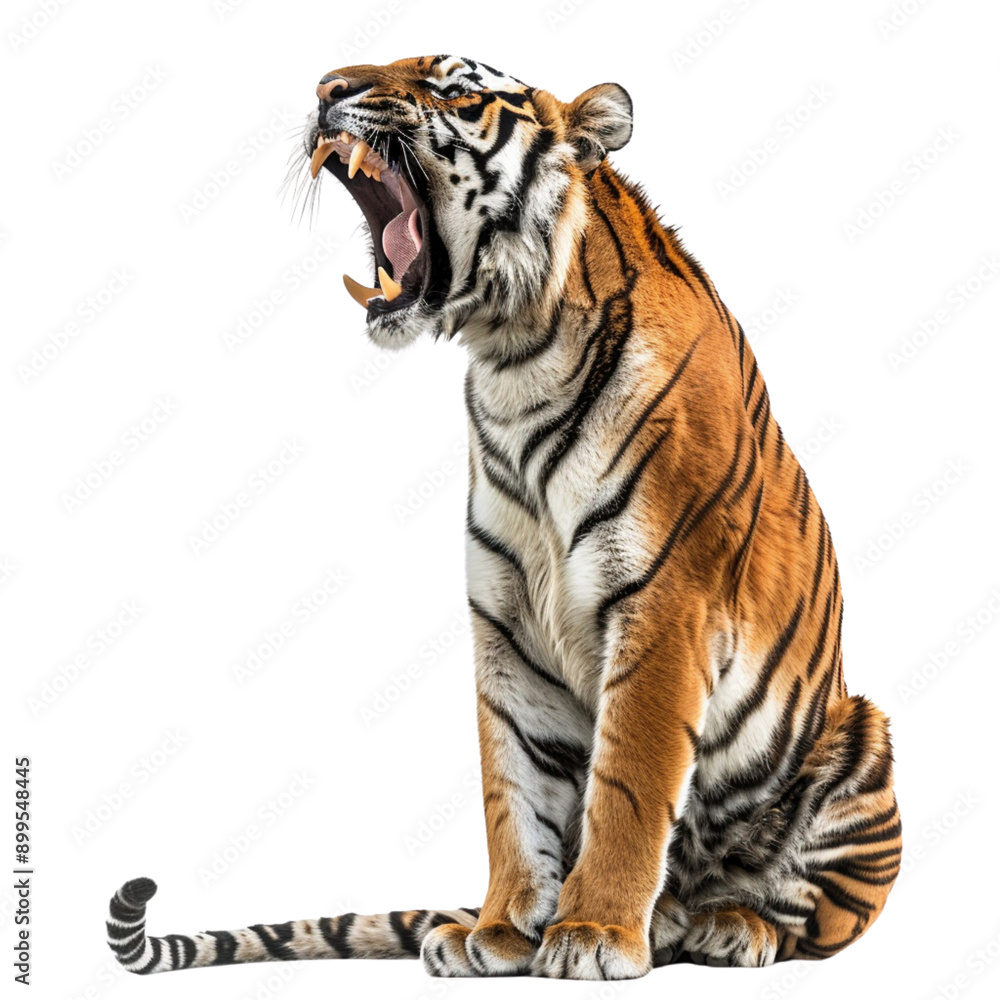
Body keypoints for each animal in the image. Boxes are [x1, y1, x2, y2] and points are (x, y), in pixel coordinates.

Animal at [106, 54, 901, 981]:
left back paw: (732, 926)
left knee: (816, 919)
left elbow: (627, 787)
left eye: (455, 93)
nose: (326, 89)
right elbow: (510, 788)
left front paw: (591, 934)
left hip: (860, 743)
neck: (519, 360)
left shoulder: (664, 608)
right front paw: (502, 931)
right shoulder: (505, 619)